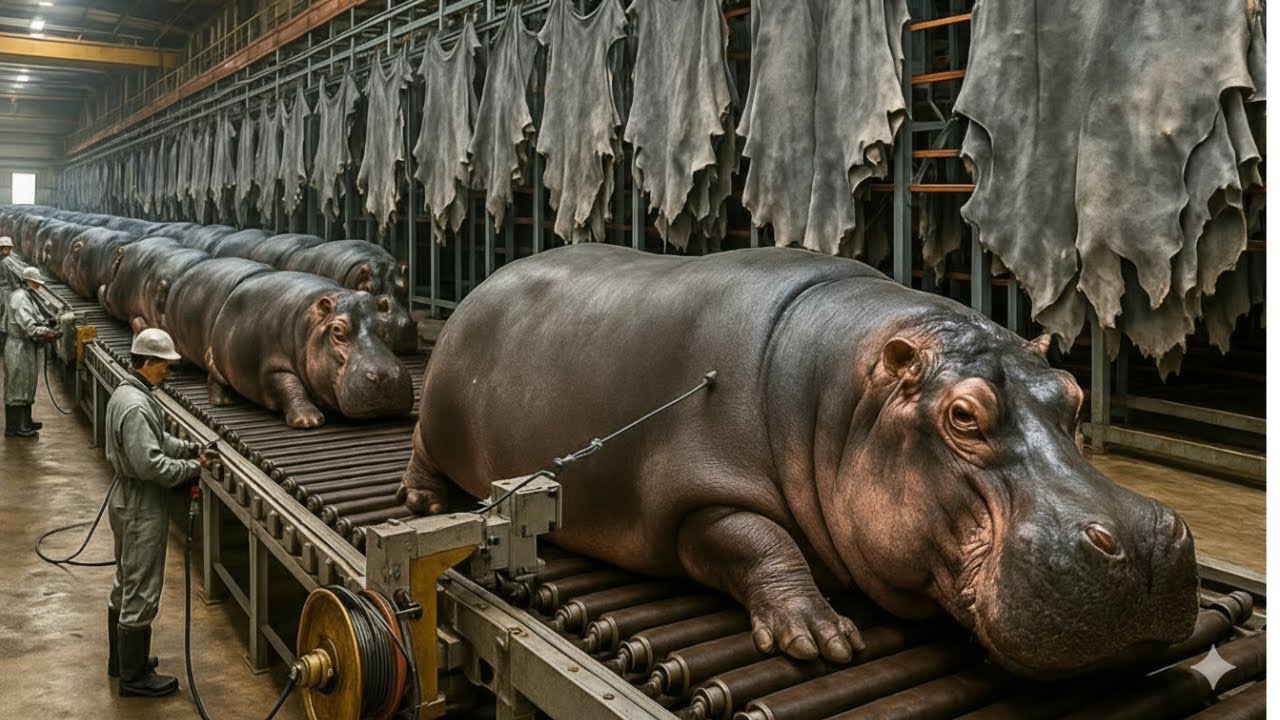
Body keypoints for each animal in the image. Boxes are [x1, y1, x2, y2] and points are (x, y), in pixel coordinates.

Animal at [205, 272, 414, 428]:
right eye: (337, 331)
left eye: (385, 325)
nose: (387, 375)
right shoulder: (272, 365)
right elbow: (288, 385)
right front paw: (308, 421)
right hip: (217, 361)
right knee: (214, 378)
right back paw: (222, 402)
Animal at [397, 244, 1199, 678]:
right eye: (963, 415)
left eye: (1074, 394)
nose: (1145, 541)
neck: (843, 398)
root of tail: (489, 279)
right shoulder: (699, 491)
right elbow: (756, 539)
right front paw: (821, 638)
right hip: (435, 411)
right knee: (419, 451)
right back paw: (423, 505)